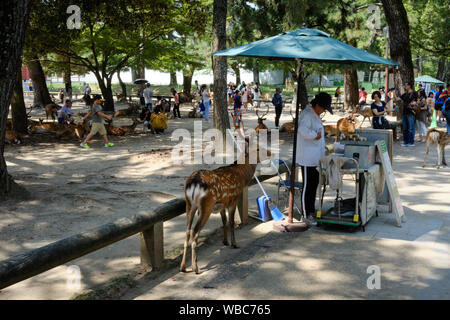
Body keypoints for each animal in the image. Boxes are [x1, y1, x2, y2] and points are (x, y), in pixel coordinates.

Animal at [180, 125, 270, 276]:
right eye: (257, 148)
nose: (270, 153)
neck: (242, 176)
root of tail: (193, 183)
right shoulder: (233, 199)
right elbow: (231, 222)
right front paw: (234, 243)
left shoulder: (221, 204)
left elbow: (223, 221)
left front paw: (225, 241)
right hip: (206, 205)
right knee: (194, 232)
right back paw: (195, 268)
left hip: (189, 204)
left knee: (187, 231)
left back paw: (182, 267)